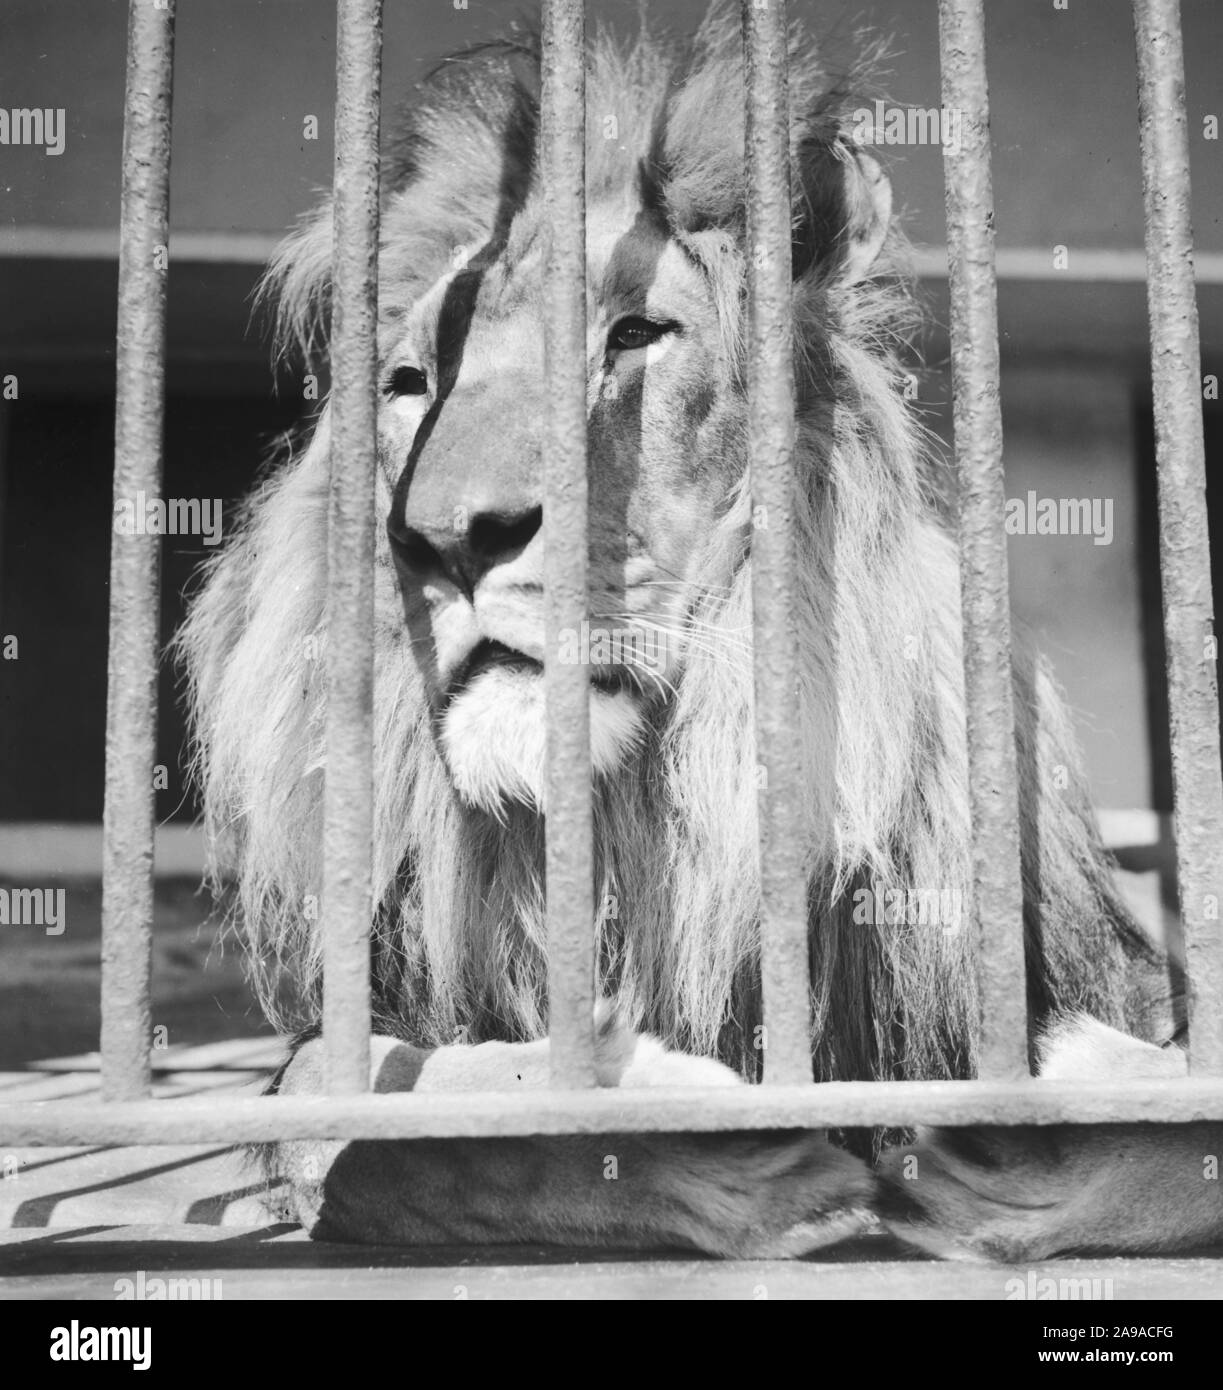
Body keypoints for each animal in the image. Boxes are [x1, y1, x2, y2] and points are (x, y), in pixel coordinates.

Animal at [176, 2, 1223, 1262]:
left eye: (635, 335)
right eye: (410, 381)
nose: (443, 537)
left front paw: (1039, 1124)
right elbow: (363, 1115)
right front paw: (670, 1122)